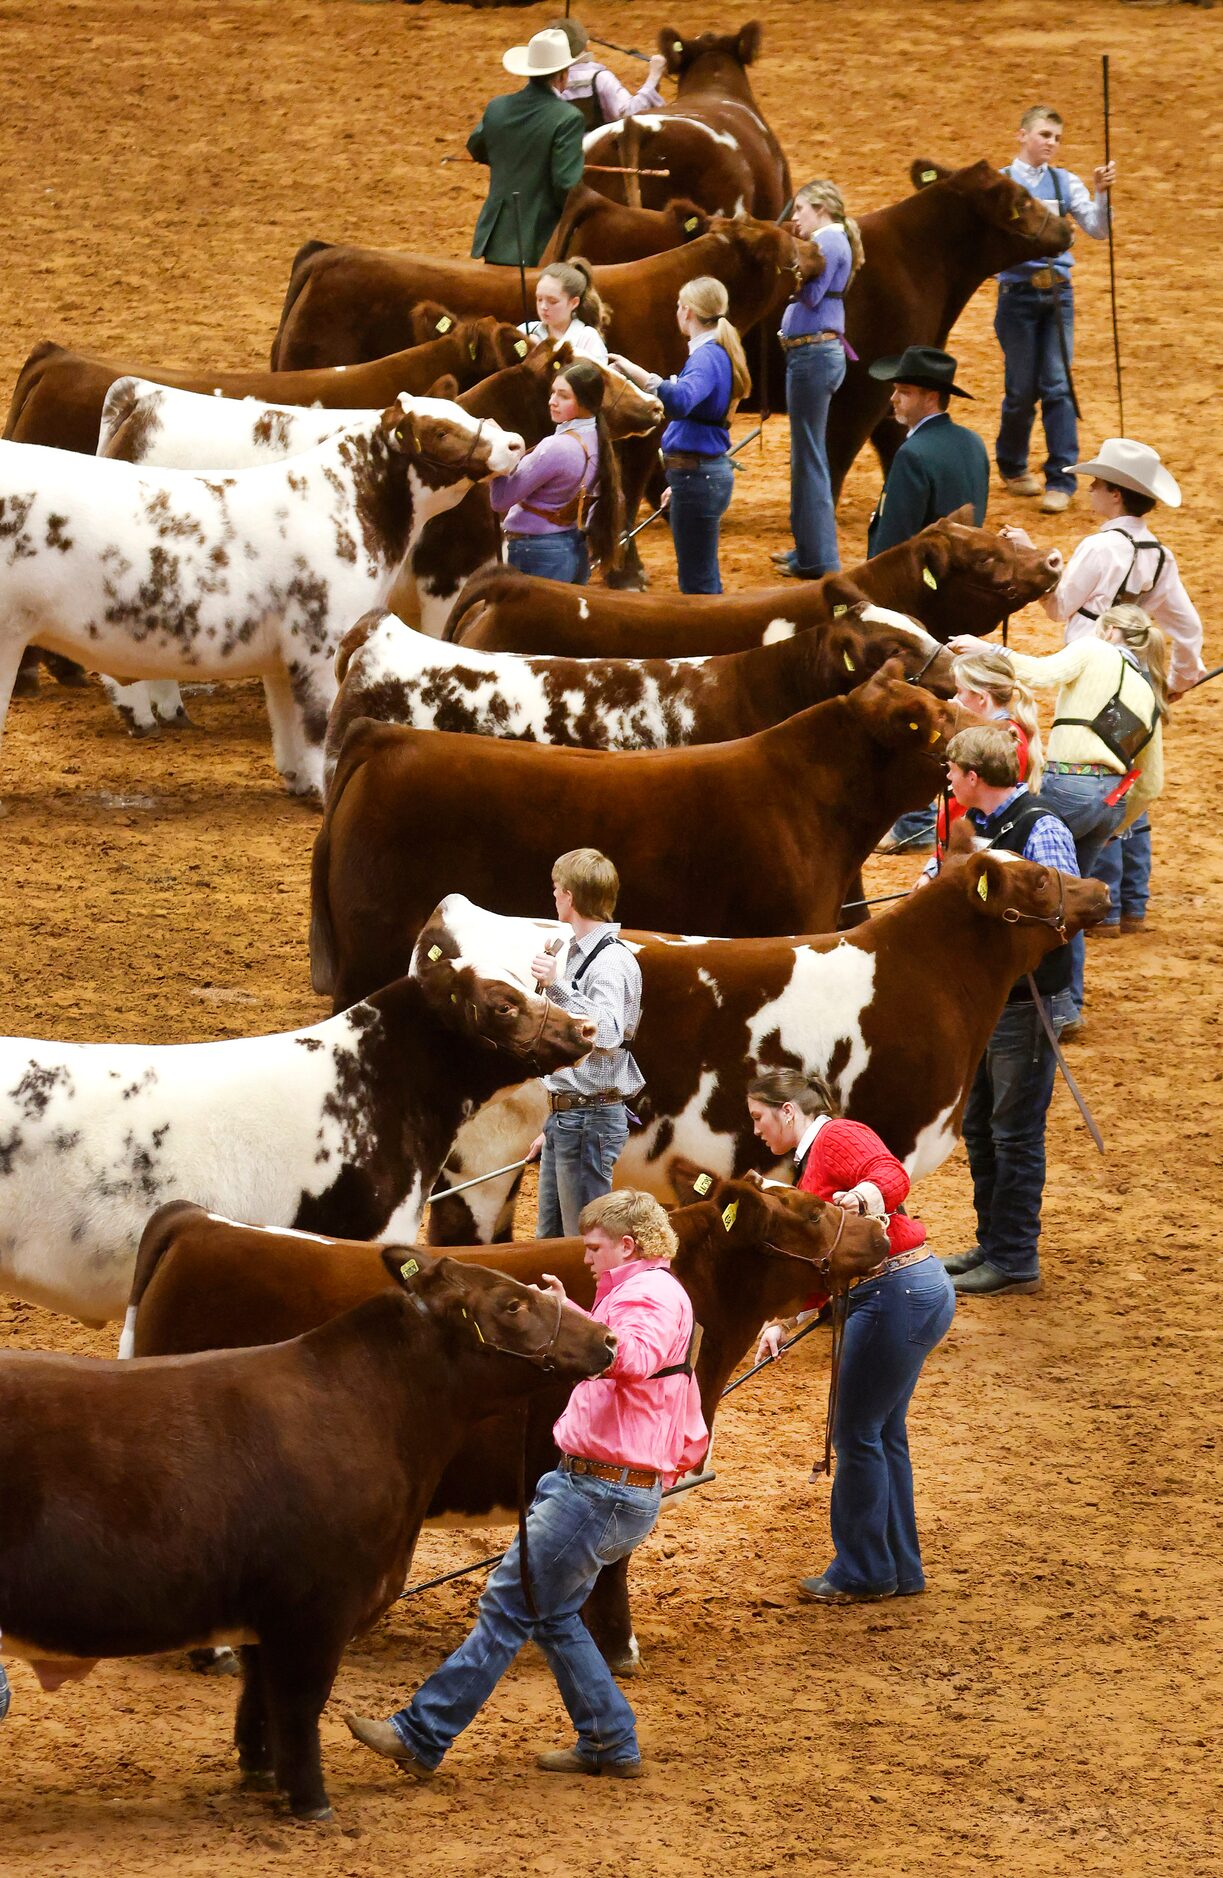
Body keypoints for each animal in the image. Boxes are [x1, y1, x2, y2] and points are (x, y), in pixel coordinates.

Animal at [0, 1262, 612, 1817]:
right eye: (512, 1305)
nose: (606, 1338)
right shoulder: (316, 1609)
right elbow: (299, 1704)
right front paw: (312, 1803)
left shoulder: (263, 1614)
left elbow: (258, 1697)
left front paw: (259, 1772)